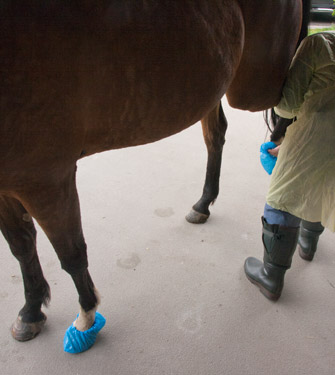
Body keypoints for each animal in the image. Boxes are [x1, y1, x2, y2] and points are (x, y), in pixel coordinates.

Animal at [0, 0, 304, 346]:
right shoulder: (10, 184)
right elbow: (21, 246)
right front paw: (31, 312)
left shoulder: (47, 180)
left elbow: (71, 253)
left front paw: (86, 316)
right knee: (218, 134)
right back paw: (203, 204)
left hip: (255, 88)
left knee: (293, 113)